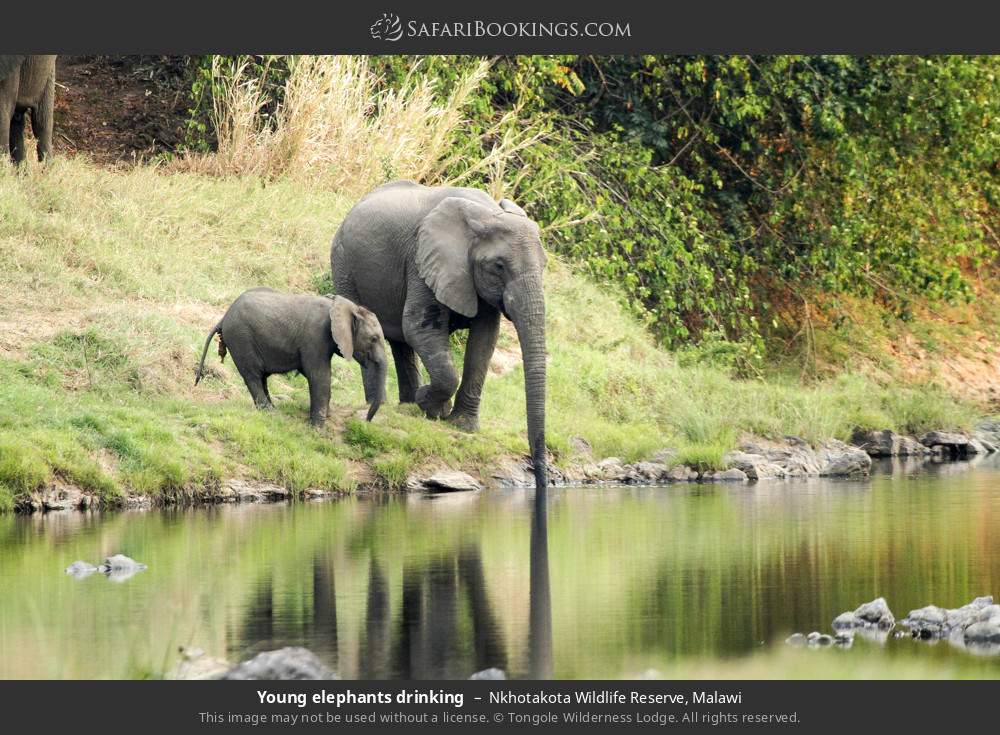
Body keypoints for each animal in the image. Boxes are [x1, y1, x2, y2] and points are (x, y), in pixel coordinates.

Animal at [195, 288, 388, 425]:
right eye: (374, 339)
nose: (367, 420)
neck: (349, 307)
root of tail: (223, 317)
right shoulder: (315, 336)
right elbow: (319, 375)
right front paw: (318, 428)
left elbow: (309, 372)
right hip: (241, 338)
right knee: (253, 376)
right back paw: (270, 413)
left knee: (261, 377)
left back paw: (272, 409)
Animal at [331, 181, 548, 488]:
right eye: (499, 266)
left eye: (544, 266)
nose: (538, 473)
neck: (484, 215)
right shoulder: (422, 260)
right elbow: (418, 326)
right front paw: (434, 407)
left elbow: (484, 340)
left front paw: (461, 425)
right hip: (344, 264)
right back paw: (383, 405)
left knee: (400, 344)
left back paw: (407, 405)